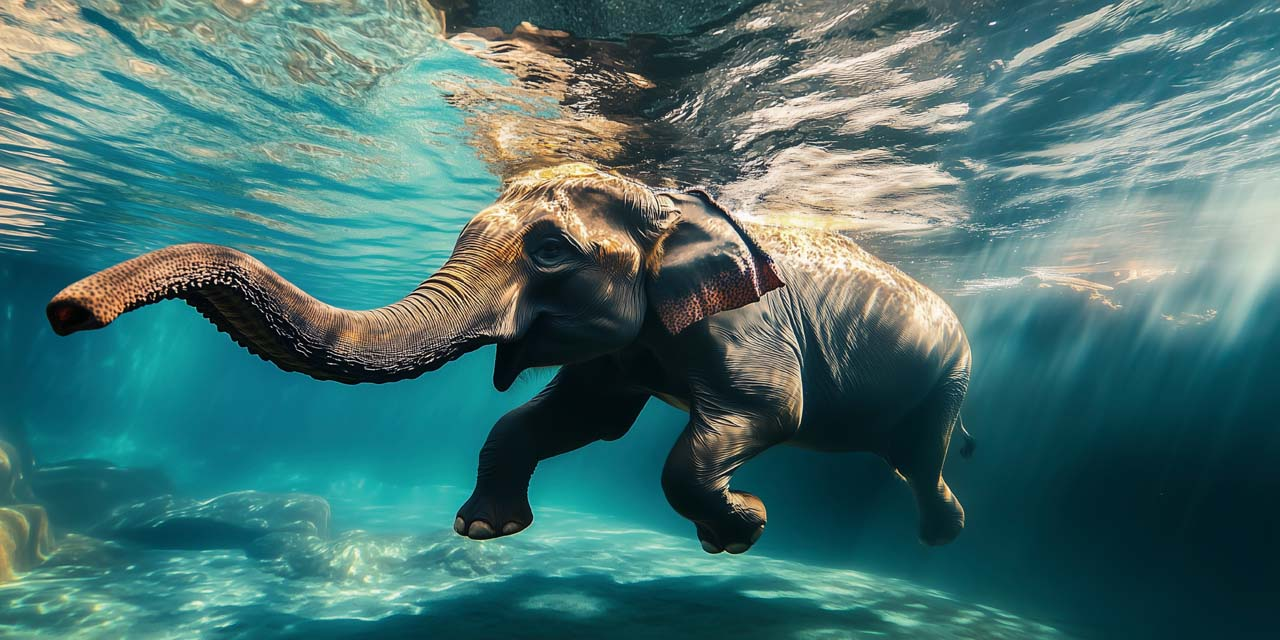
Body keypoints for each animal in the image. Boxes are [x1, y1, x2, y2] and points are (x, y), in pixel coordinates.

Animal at [46, 163, 974, 554]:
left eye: (551, 251)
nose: (67, 312)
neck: (670, 200)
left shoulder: (746, 329)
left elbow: (760, 417)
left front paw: (742, 528)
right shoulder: (625, 351)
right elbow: (576, 419)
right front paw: (482, 532)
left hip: (951, 373)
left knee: (924, 453)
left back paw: (943, 531)